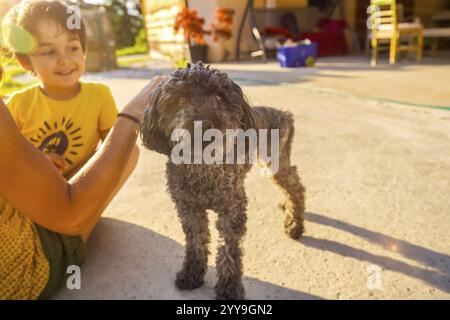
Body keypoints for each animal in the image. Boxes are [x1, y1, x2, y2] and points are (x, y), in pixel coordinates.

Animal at [141, 63, 306, 300]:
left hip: (275, 163)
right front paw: (192, 273)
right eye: (180, 100)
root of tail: (283, 113)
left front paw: (229, 287)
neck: (202, 166)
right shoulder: (188, 208)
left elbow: (229, 252)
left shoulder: (231, 210)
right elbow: (196, 242)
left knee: (295, 186)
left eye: (219, 97)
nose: (205, 124)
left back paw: (294, 223)